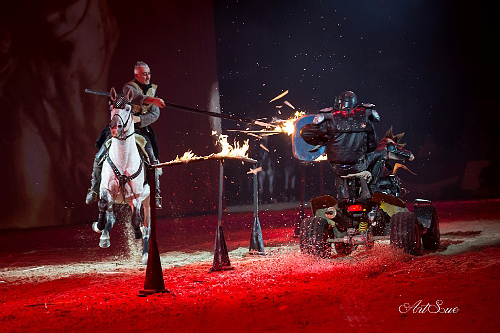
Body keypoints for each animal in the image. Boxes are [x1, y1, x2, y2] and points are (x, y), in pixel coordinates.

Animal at [92, 87, 150, 264]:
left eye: (128, 108)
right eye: (111, 107)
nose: (114, 127)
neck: (123, 160)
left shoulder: (137, 195)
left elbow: (136, 219)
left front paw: (137, 232)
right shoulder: (106, 189)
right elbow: (103, 206)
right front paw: (99, 227)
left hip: (147, 200)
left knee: (147, 226)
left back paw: (145, 255)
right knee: (110, 215)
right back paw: (104, 236)